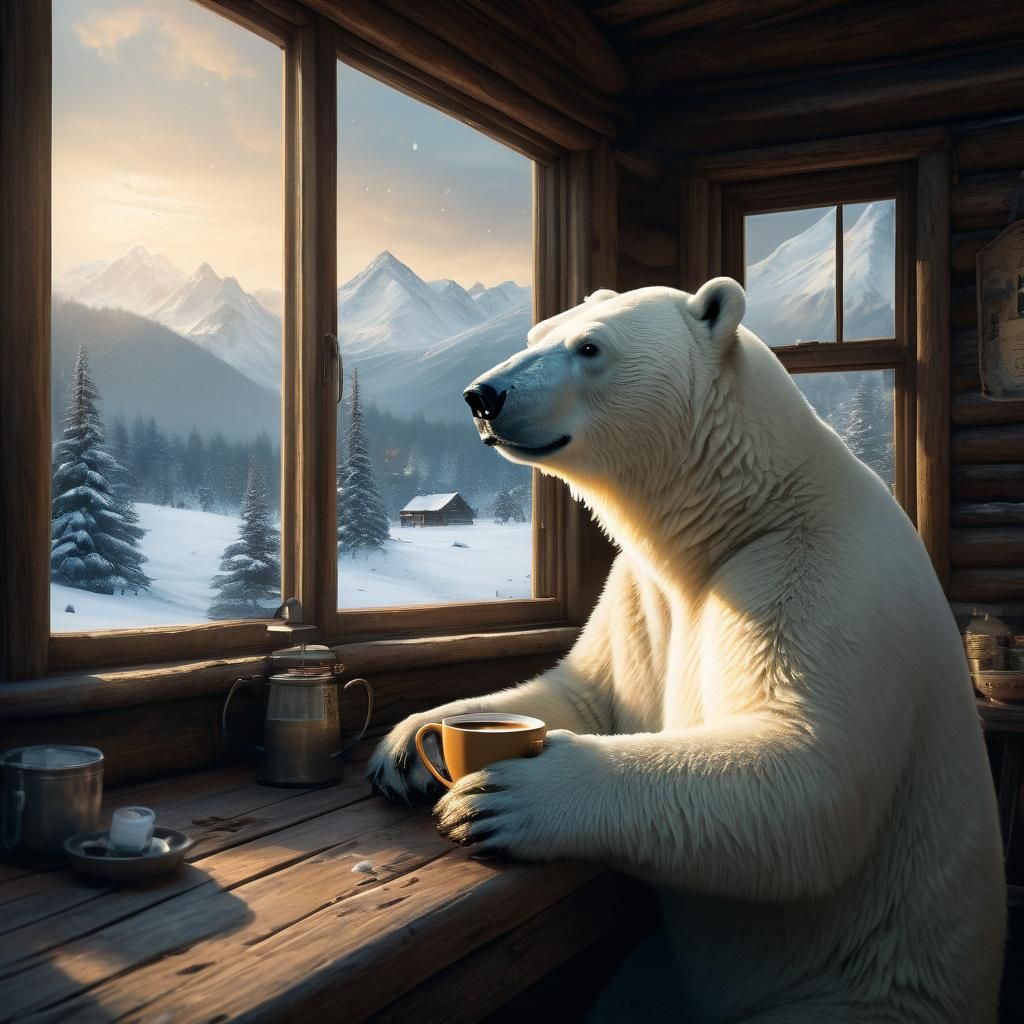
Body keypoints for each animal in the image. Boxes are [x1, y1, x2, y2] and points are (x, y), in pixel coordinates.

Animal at [367, 279, 1005, 1023]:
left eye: (590, 347)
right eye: (536, 334)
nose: (483, 395)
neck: (737, 511)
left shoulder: (812, 575)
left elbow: (805, 767)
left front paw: (507, 794)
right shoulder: (644, 597)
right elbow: (588, 691)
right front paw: (409, 745)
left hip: (858, 993)